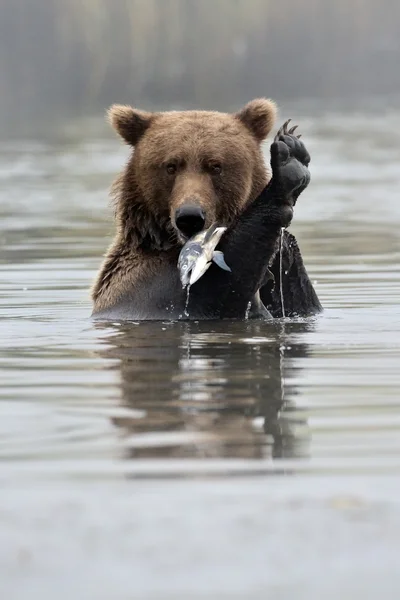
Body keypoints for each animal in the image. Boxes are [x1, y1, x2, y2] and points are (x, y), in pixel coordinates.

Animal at [91, 98, 322, 322]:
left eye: (215, 166)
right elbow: (218, 288)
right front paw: (289, 162)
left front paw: (292, 148)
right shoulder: (143, 285)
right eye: (171, 166)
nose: (190, 217)